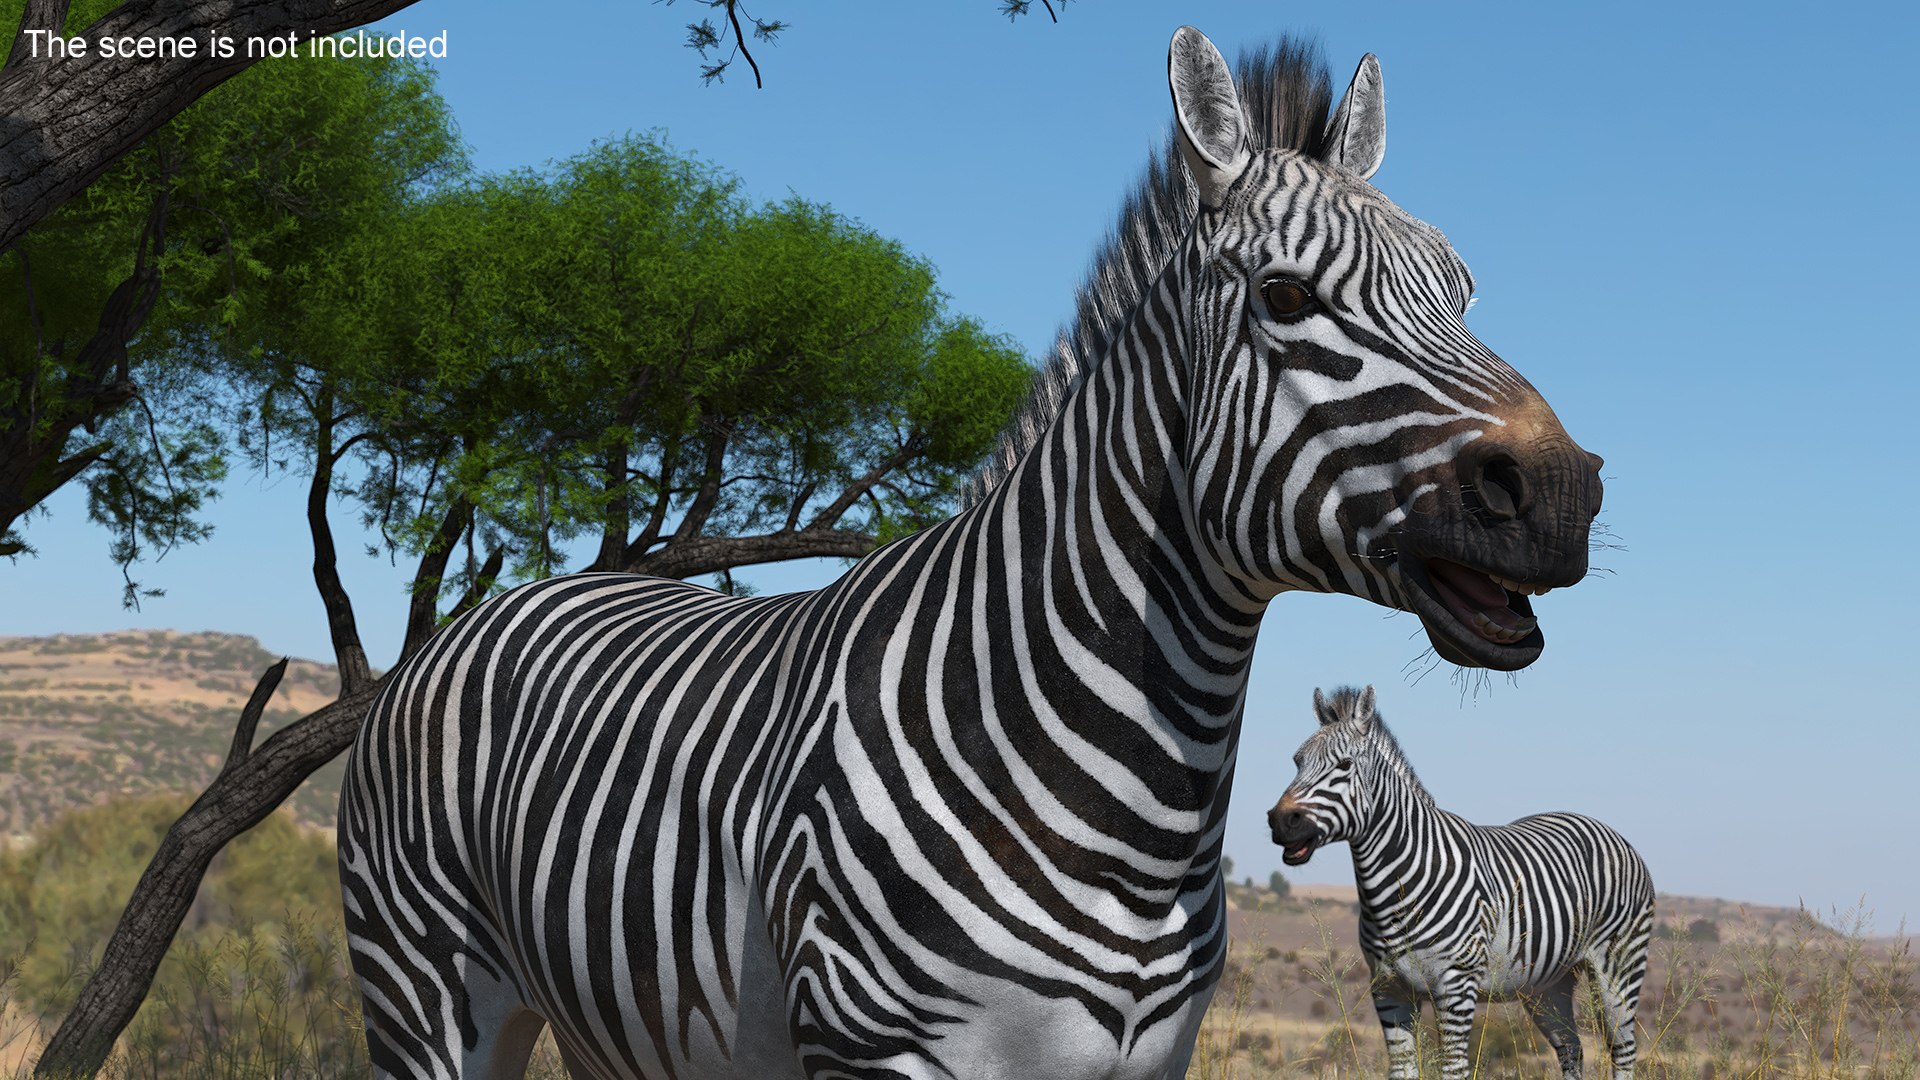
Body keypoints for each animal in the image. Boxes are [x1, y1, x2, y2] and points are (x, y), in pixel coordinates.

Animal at [339, 26, 1608, 1080]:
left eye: (1463, 293)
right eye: (1288, 297)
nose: (1566, 495)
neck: (1135, 812)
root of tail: (493, 608)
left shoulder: (1151, 1062)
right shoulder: (878, 1052)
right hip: (426, 992)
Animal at [1268, 686, 1654, 1080]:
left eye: (1344, 766)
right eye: (1297, 762)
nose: (1280, 821)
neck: (1395, 888)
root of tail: (1605, 826)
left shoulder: (1455, 986)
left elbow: (1453, 1069)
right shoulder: (1389, 990)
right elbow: (1402, 1069)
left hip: (1619, 966)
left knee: (1623, 1049)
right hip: (1547, 985)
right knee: (1571, 1048)